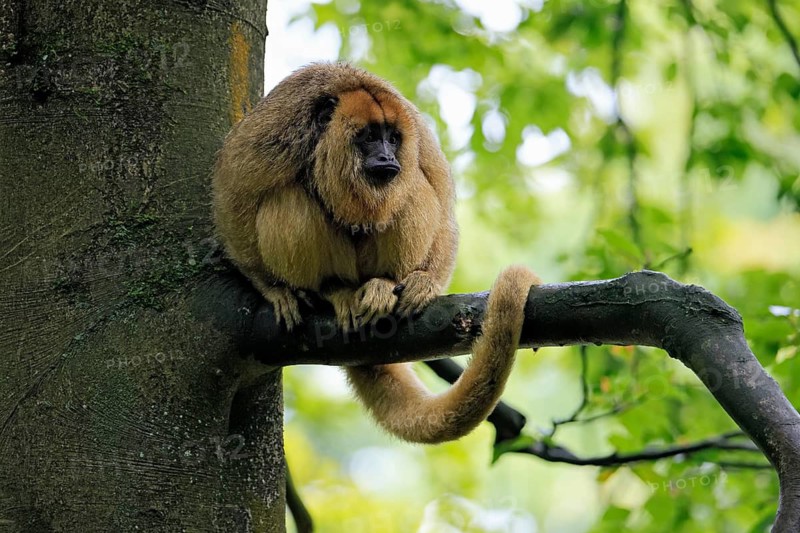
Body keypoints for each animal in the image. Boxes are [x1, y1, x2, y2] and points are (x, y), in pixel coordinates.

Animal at [212, 62, 540, 444]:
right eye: (369, 137)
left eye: (392, 138)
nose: (386, 156)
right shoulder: (277, 131)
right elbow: (235, 197)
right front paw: (274, 289)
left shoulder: (418, 135)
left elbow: (441, 203)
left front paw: (426, 282)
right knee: (288, 196)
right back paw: (333, 289)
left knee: (414, 187)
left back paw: (384, 284)